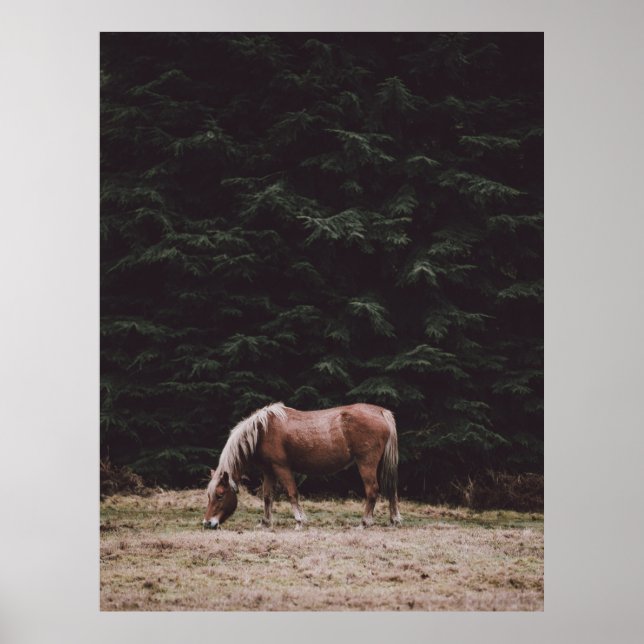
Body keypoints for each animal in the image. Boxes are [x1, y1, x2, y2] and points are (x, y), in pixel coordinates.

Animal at [203, 402, 402, 530]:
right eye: (209, 495)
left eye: (220, 495)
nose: (207, 523)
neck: (262, 431)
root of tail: (380, 412)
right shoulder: (268, 471)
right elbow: (267, 496)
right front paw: (265, 523)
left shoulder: (282, 468)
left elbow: (292, 493)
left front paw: (299, 521)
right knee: (391, 490)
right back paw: (394, 520)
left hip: (366, 463)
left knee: (372, 491)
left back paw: (364, 523)